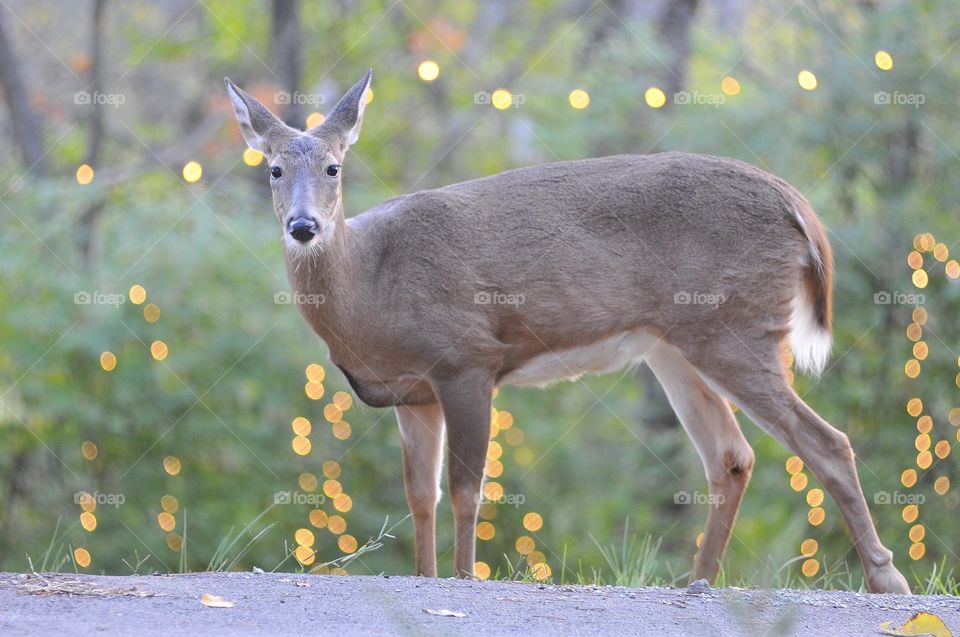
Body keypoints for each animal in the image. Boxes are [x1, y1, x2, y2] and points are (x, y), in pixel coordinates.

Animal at [225, 69, 910, 594]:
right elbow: (420, 494)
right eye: (273, 170)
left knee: (826, 441)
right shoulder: (412, 393)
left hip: (737, 326)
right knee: (732, 455)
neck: (369, 286)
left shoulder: (467, 358)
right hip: (677, 345)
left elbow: (466, 490)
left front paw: (463, 579)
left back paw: (886, 581)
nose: (304, 227)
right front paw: (425, 577)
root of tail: (797, 205)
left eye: (334, 167)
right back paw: (698, 581)